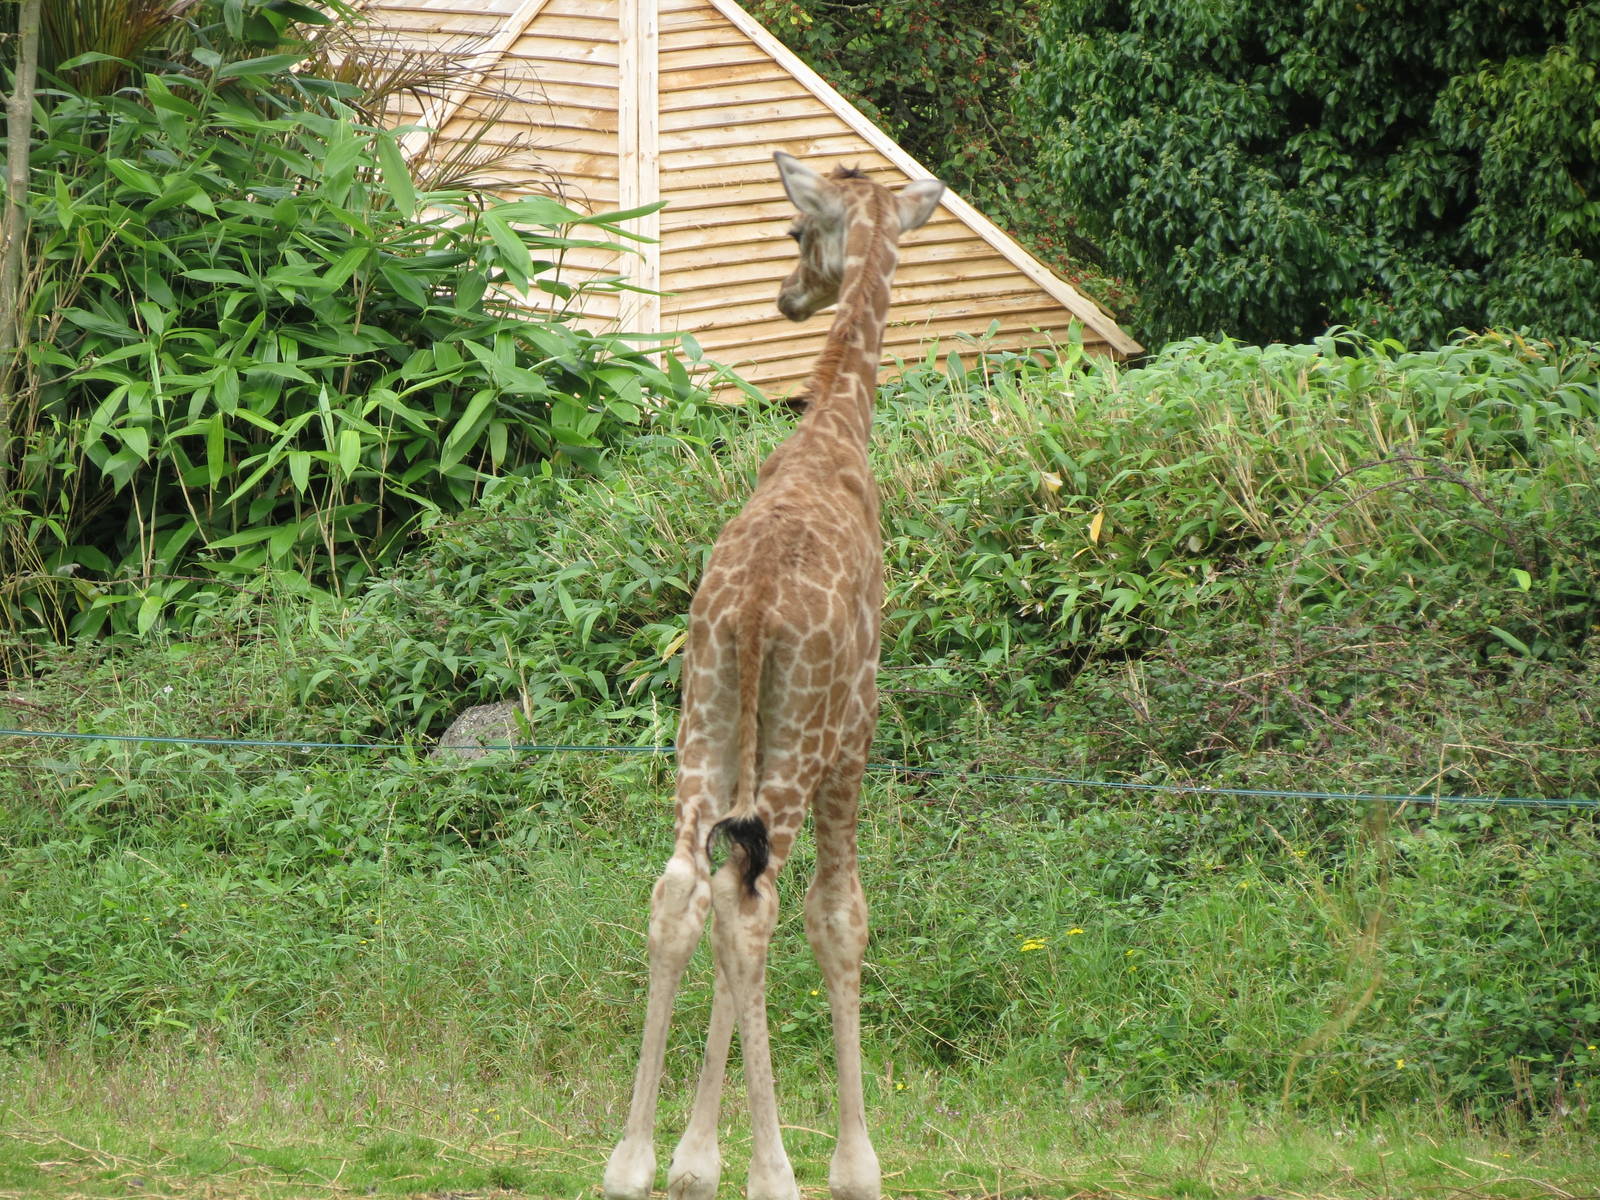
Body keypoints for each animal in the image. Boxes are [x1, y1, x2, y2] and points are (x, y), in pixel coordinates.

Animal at [603, 152, 944, 1200]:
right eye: (801, 232)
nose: (790, 295)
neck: (835, 431)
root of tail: (752, 610)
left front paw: (689, 1156)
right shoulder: (857, 738)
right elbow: (841, 920)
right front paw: (852, 1162)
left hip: (703, 716)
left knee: (685, 889)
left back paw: (629, 1161)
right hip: (795, 743)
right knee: (755, 905)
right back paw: (775, 1172)